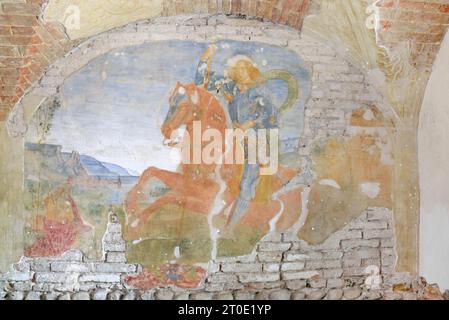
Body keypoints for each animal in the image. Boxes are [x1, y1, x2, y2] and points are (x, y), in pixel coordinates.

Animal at [123, 82, 300, 238]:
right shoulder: (187, 181)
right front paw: (130, 204)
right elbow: (151, 171)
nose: (165, 130)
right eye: (170, 102)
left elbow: (172, 196)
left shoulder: (207, 198)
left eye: (183, 105)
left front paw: (136, 223)